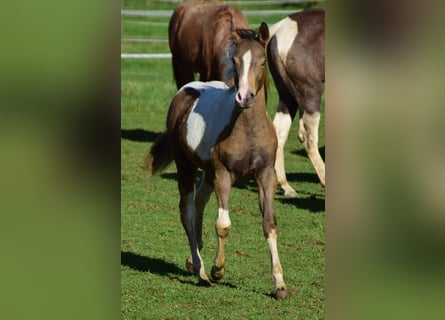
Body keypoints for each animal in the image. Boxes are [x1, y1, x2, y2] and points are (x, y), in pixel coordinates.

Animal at [144, 25, 286, 300]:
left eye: (263, 61)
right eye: (235, 60)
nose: (244, 97)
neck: (247, 129)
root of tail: (186, 90)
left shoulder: (266, 174)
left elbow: (269, 224)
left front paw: (280, 285)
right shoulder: (224, 174)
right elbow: (223, 224)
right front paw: (217, 269)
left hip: (207, 171)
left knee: (199, 202)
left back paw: (193, 259)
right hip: (187, 166)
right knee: (187, 211)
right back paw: (201, 271)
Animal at [266, 8, 324, 196]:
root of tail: (278, 32)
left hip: (287, 96)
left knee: (279, 130)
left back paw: (286, 186)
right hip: (310, 93)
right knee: (307, 136)